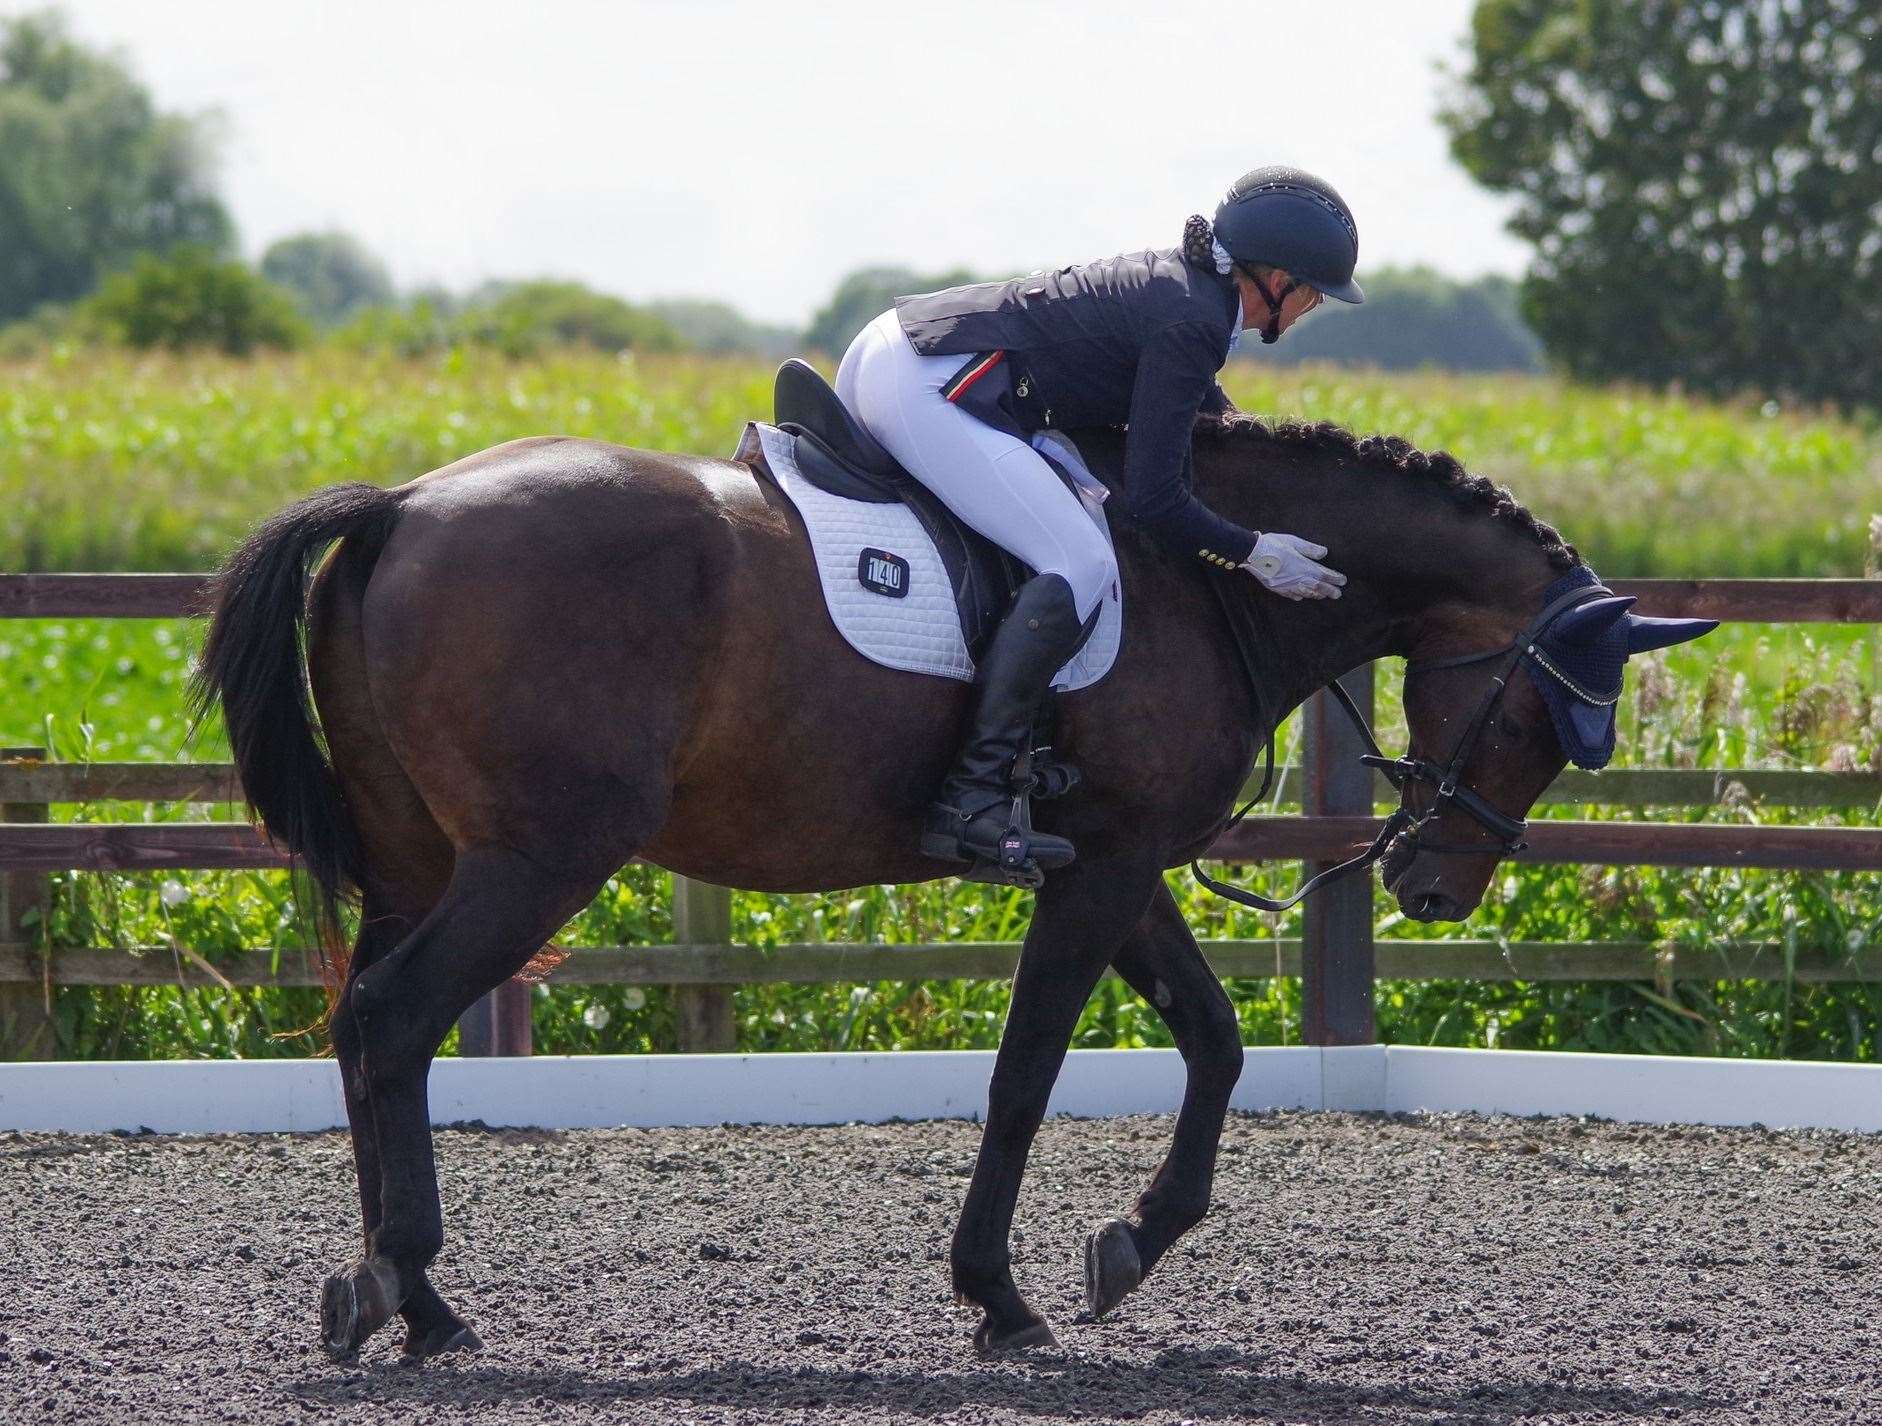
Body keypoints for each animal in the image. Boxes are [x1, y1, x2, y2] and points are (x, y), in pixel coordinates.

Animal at [187, 410, 1708, 1362]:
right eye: (1542, 716)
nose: (1435, 884)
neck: (1197, 575)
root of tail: (402, 506)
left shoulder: (1119, 865)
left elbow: (1214, 1041)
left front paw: (1131, 1244)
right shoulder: (1099, 873)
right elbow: (1025, 1071)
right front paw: (998, 1294)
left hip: (427, 861)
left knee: (368, 1031)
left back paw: (409, 1299)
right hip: (538, 860)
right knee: (392, 1019)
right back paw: (407, 1286)